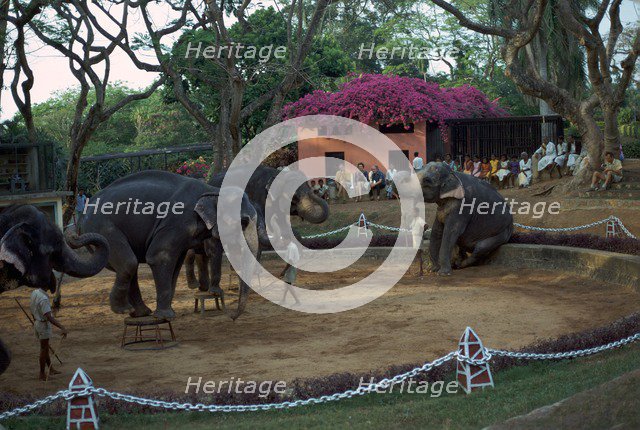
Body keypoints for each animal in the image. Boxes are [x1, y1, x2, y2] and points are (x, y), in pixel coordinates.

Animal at [80, 170, 260, 320]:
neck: (212, 190)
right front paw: (165, 316)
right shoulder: (176, 222)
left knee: (129, 266)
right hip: (102, 228)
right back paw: (124, 310)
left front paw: (168, 313)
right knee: (128, 263)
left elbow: (176, 262)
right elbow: (159, 257)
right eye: (243, 222)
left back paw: (141, 313)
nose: (231, 317)